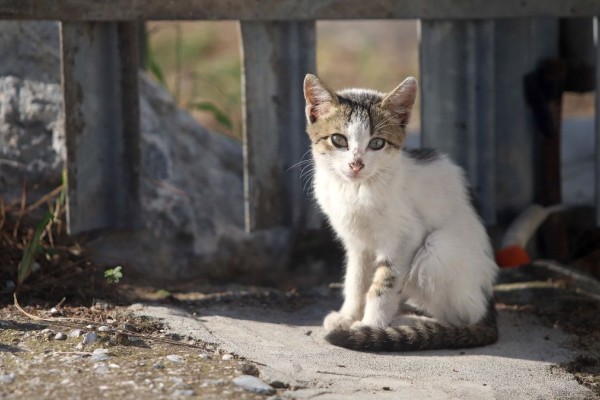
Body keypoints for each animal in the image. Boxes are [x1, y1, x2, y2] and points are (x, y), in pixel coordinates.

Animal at [304, 74, 496, 350]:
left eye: (376, 143)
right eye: (338, 140)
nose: (356, 164)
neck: (356, 190)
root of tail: (489, 298)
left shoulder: (405, 237)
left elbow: (384, 284)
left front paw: (370, 326)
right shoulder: (357, 243)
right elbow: (355, 280)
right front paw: (347, 316)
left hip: (436, 249)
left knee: (462, 315)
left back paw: (409, 322)